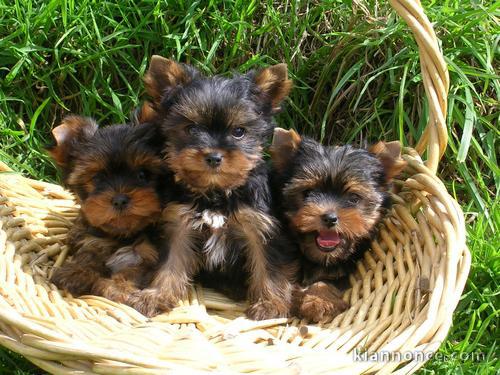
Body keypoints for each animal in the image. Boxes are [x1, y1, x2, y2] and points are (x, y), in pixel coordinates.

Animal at [129, 56, 298, 320]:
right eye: (190, 129)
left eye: (239, 132)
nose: (214, 156)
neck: (216, 192)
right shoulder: (180, 225)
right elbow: (171, 262)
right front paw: (155, 295)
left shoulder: (259, 227)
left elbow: (268, 267)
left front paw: (269, 304)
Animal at [270, 129, 406, 324]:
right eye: (307, 193)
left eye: (354, 198)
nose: (330, 218)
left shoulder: (343, 270)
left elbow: (327, 282)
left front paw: (318, 302)